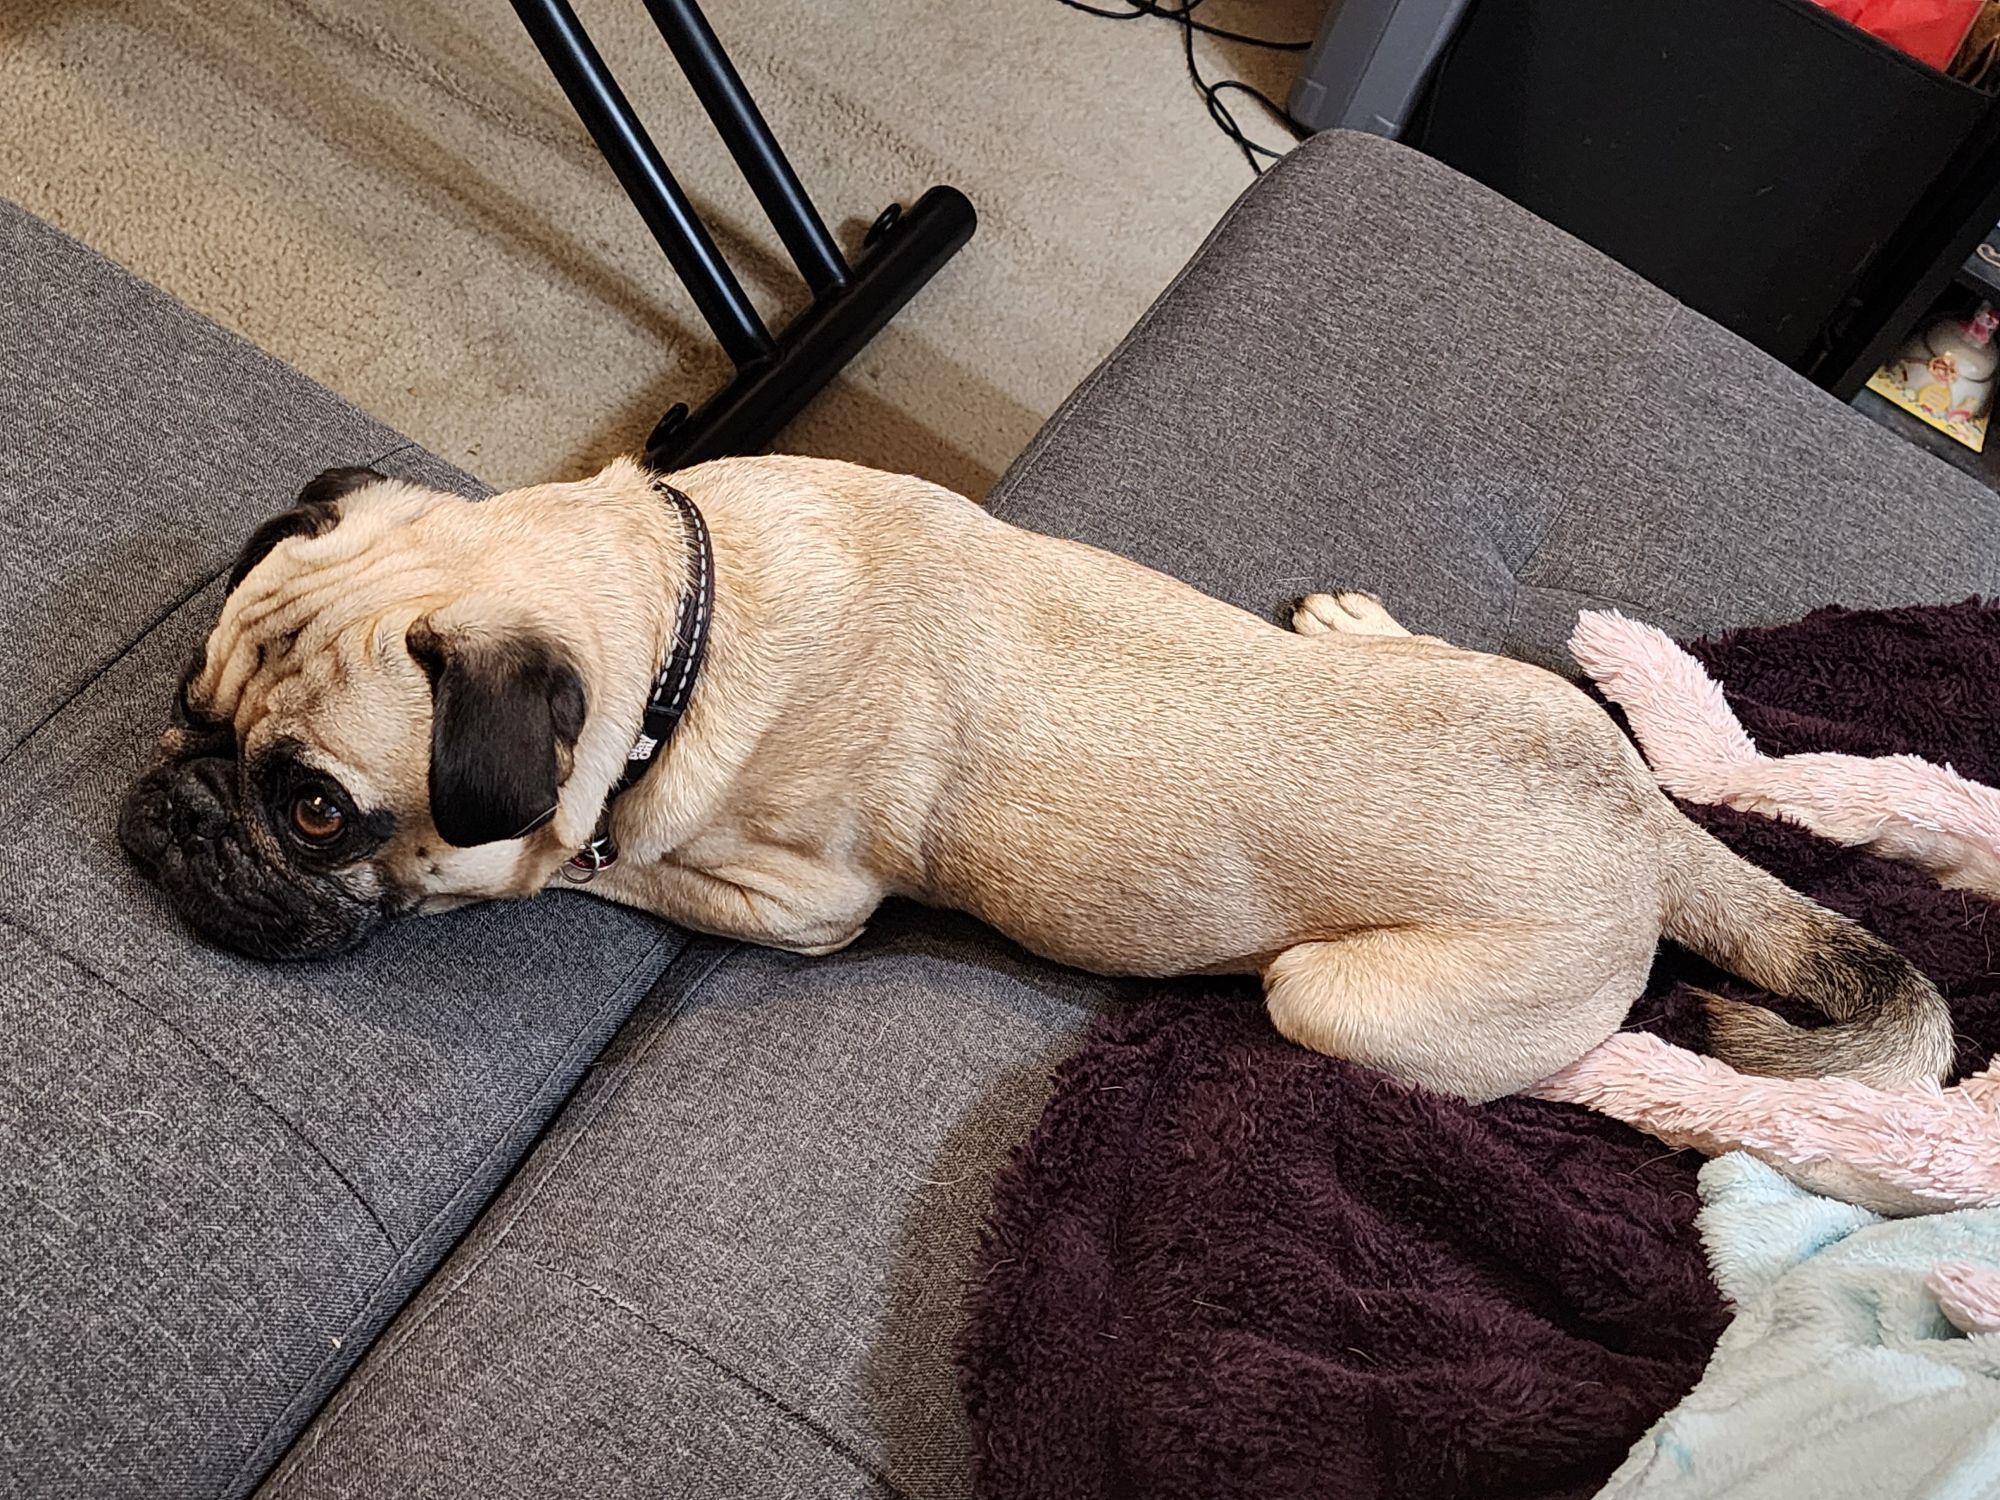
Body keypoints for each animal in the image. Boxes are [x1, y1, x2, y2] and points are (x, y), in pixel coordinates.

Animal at [117, 452, 1944, 1096]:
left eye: (312, 812)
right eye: (181, 707)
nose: (170, 812)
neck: (677, 597)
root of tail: (1642, 832)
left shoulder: (791, 901)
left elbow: (597, 859)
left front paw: (568, 858)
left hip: (1341, 1005)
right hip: (1516, 700)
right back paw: (1362, 626)